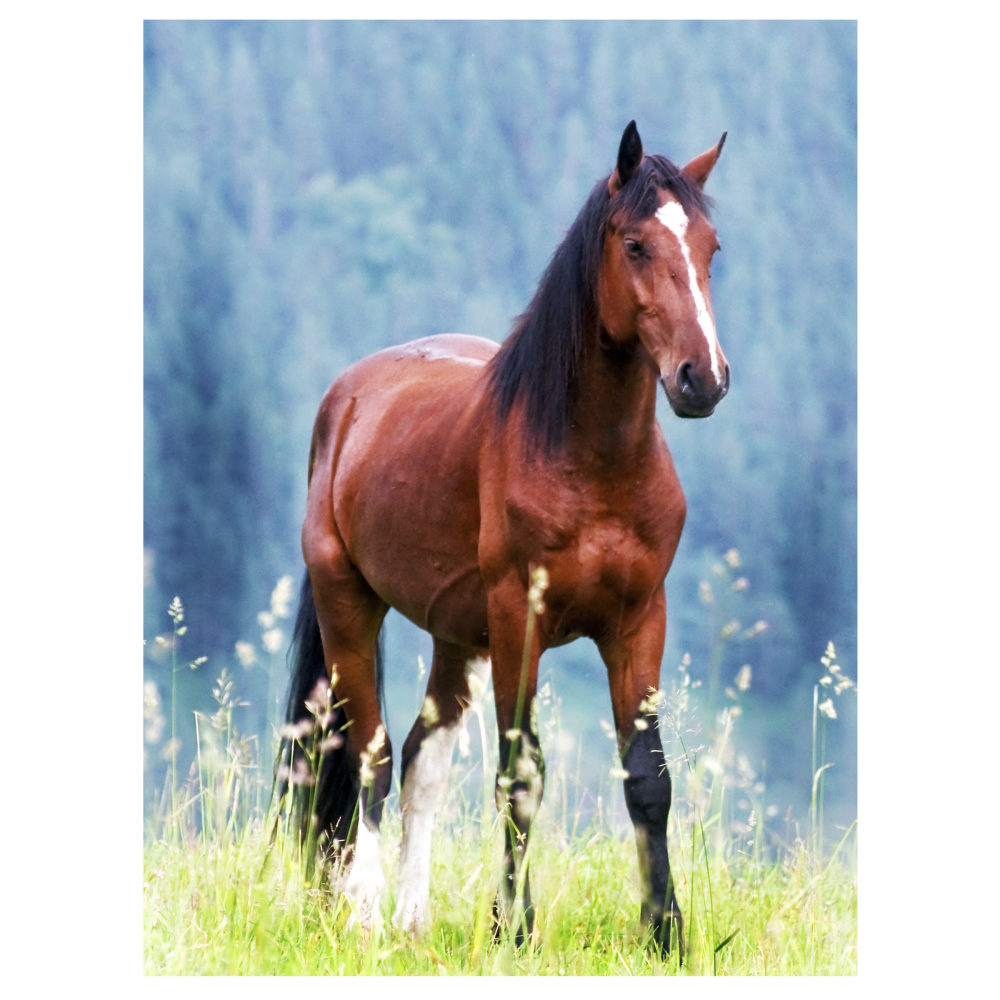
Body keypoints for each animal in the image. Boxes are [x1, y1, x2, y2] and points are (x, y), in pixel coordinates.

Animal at [278, 120, 729, 958]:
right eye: (634, 245)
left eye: (711, 246)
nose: (701, 379)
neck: (593, 462)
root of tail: (345, 401)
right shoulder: (522, 621)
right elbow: (521, 777)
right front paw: (512, 928)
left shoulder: (638, 622)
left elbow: (648, 777)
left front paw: (665, 931)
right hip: (348, 603)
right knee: (368, 755)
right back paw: (365, 913)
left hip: (458, 635)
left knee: (420, 760)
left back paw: (412, 920)